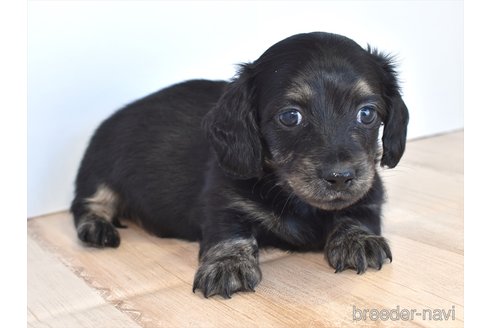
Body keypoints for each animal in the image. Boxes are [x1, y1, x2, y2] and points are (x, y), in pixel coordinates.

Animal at [70, 32, 408, 298]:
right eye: (290, 116)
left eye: (367, 113)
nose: (340, 177)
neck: (290, 194)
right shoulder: (223, 200)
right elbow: (229, 233)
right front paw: (227, 265)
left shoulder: (370, 192)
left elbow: (358, 213)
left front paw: (358, 240)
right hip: (98, 170)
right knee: (88, 204)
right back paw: (97, 228)